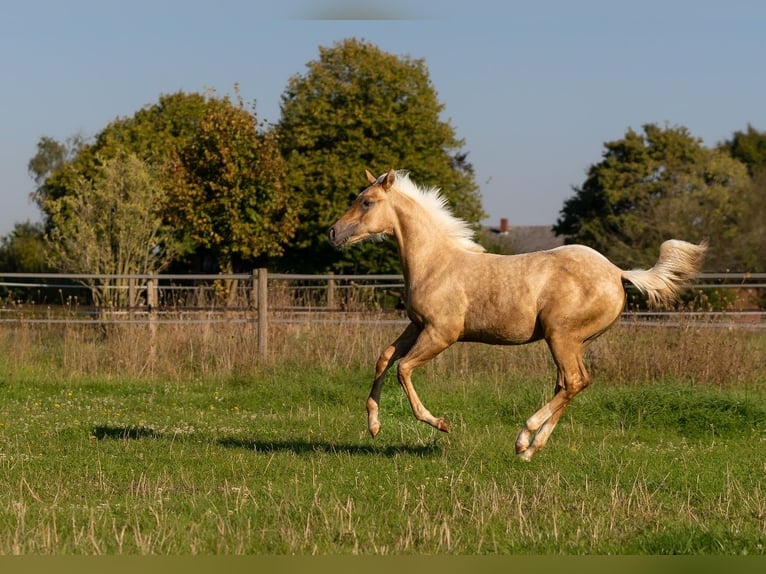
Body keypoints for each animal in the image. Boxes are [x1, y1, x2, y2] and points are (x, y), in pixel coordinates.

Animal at [328, 169, 707, 460]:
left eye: (366, 202)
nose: (333, 232)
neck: (435, 262)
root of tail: (617, 272)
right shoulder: (416, 325)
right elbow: (384, 358)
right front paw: (374, 426)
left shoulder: (440, 333)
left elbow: (403, 369)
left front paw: (440, 424)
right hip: (574, 342)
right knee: (570, 384)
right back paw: (530, 449)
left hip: (560, 336)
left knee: (574, 382)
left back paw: (524, 437)